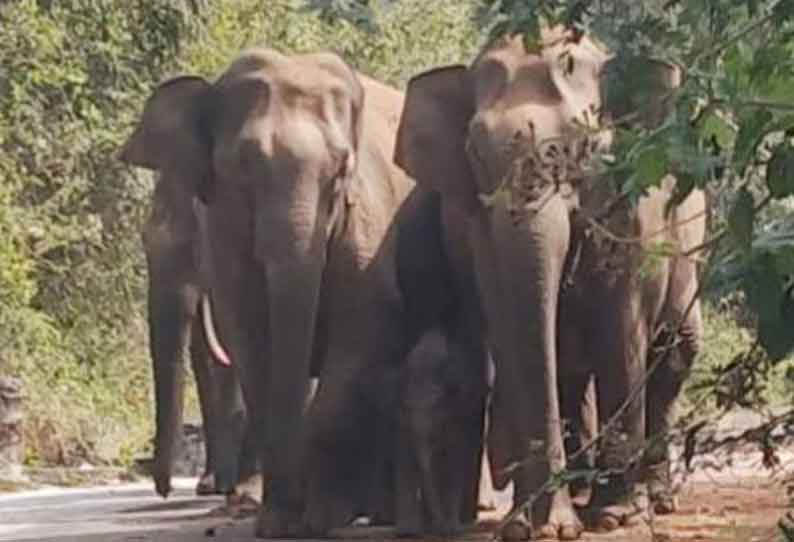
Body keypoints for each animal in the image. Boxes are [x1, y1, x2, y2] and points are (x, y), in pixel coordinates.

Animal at [388, 330, 480, 536]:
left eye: (437, 410)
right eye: (406, 409)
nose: (439, 528)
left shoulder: (459, 411)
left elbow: (455, 461)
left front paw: (451, 529)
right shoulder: (402, 419)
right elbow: (408, 460)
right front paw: (410, 531)